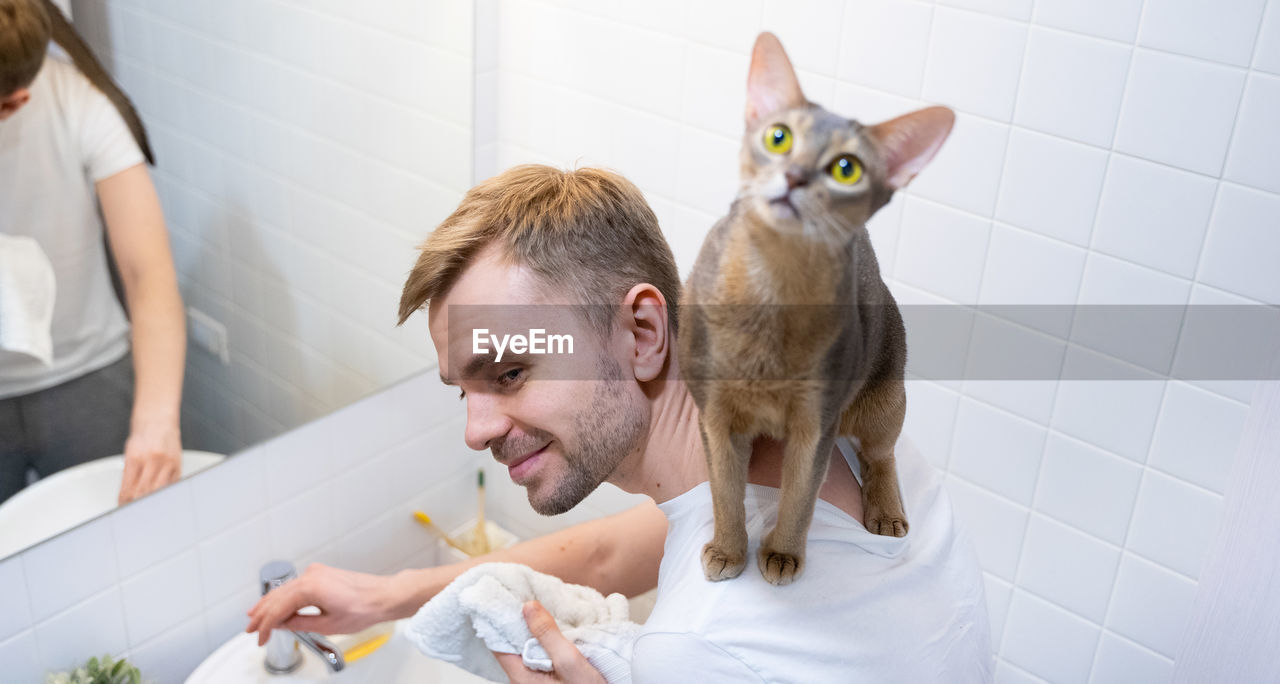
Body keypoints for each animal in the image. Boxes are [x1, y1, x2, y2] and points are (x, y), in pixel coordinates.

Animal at [680, 33, 952, 589]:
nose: (795, 176)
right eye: (779, 138)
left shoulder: (816, 423)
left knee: (880, 455)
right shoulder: (715, 415)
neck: (772, 293)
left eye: (847, 168)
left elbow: (801, 496)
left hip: (886, 397)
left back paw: (887, 513)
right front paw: (728, 550)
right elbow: (723, 491)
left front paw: (783, 553)